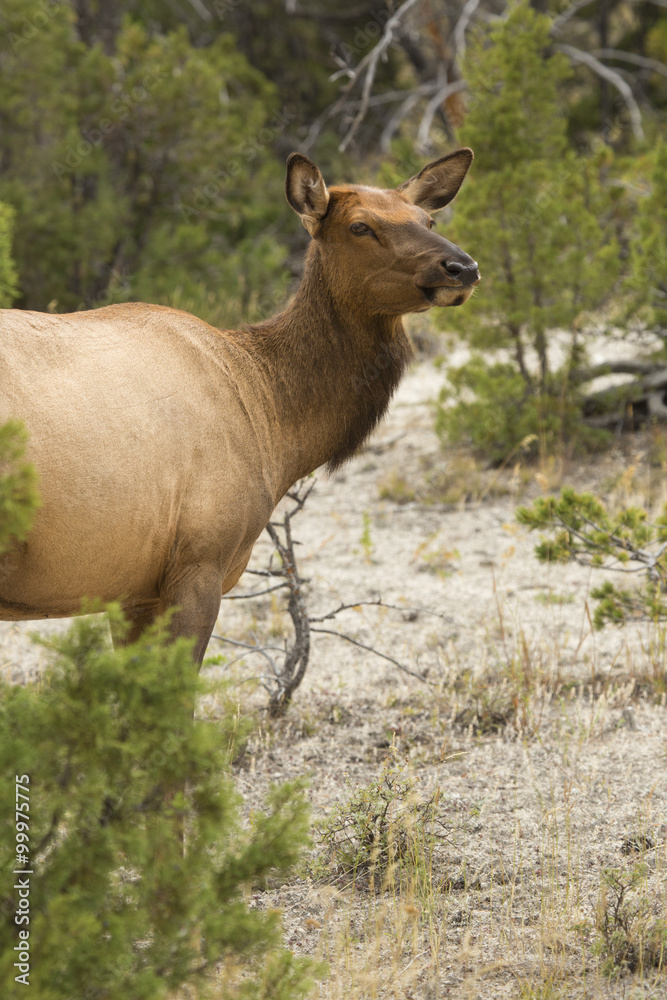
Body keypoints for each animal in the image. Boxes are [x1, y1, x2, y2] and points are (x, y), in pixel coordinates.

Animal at [1, 146, 480, 664]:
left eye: (428, 219)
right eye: (360, 226)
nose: (462, 267)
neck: (269, 415)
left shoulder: (133, 590)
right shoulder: (200, 562)